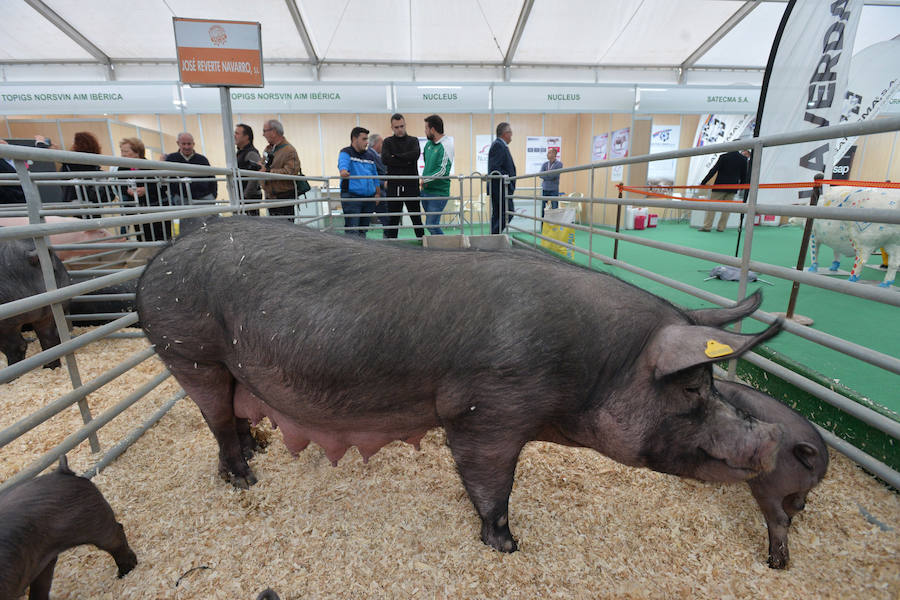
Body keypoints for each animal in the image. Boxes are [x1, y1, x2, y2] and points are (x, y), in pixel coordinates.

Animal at [137, 218, 784, 556]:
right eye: (693, 390)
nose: (773, 437)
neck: (593, 366)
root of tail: (154, 263)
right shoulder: (487, 408)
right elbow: (492, 483)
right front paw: (507, 545)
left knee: (235, 418)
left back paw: (258, 452)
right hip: (189, 349)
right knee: (217, 422)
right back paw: (245, 479)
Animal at [712, 382, 828, 568]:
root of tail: (813, 458)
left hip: (768, 487)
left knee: (779, 519)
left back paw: (774, 563)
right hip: (801, 490)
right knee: (797, 506)